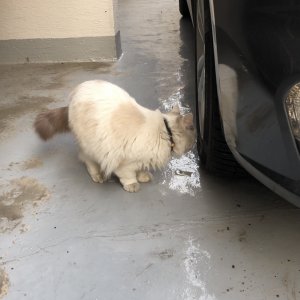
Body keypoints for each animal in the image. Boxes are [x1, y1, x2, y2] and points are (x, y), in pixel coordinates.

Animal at [34, 79, 196, 192]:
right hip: (91, 147)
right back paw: (98, 176)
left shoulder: (141, 160)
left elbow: (140, 169)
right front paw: (133, 185)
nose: (194, 145)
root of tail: (77, 91)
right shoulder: (124, 163)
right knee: (87, 161)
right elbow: (129, 176)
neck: (165, 132)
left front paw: (143, 176)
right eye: (193, 140)